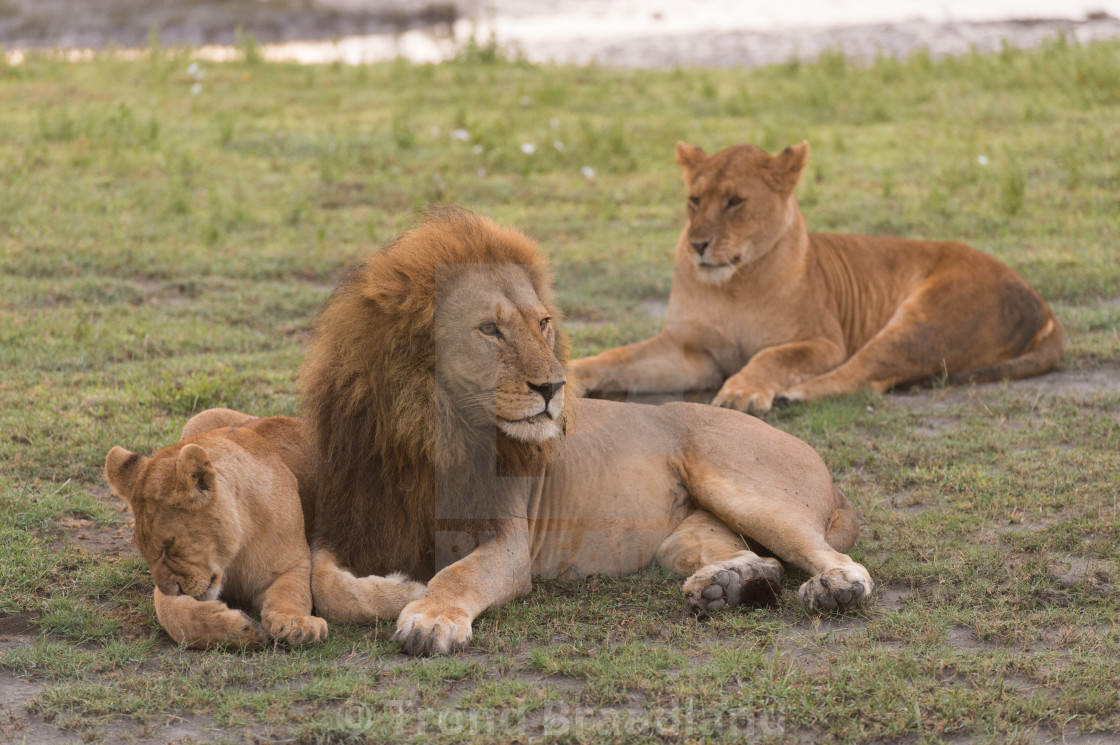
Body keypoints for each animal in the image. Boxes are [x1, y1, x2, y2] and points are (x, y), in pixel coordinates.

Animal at [302, 206, 869, 654]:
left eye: (543, 323)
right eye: (489, 329)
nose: (554, 386)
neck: (430, 432)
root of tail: (828, 475)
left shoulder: (509, 543)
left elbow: (457, 572)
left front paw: (427, 612)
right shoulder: (350, 524)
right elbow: (324, 581)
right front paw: (399, 588)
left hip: (741, 486)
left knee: (834, 558)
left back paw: (834, 588)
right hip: (684, 538)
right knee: (758, 559)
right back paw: (727, 585)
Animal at [568, 139, 1066, 412]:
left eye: (734, 202)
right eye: (695, 199)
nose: (698, 245)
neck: (733, 285)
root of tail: (1043, 304)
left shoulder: (824, 343)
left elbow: (771, 357)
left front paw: (743, 391)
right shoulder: (693, 353)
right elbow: (617, 357)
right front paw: (568, 374)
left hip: (923, 321)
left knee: (865, 374)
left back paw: (795, 395)